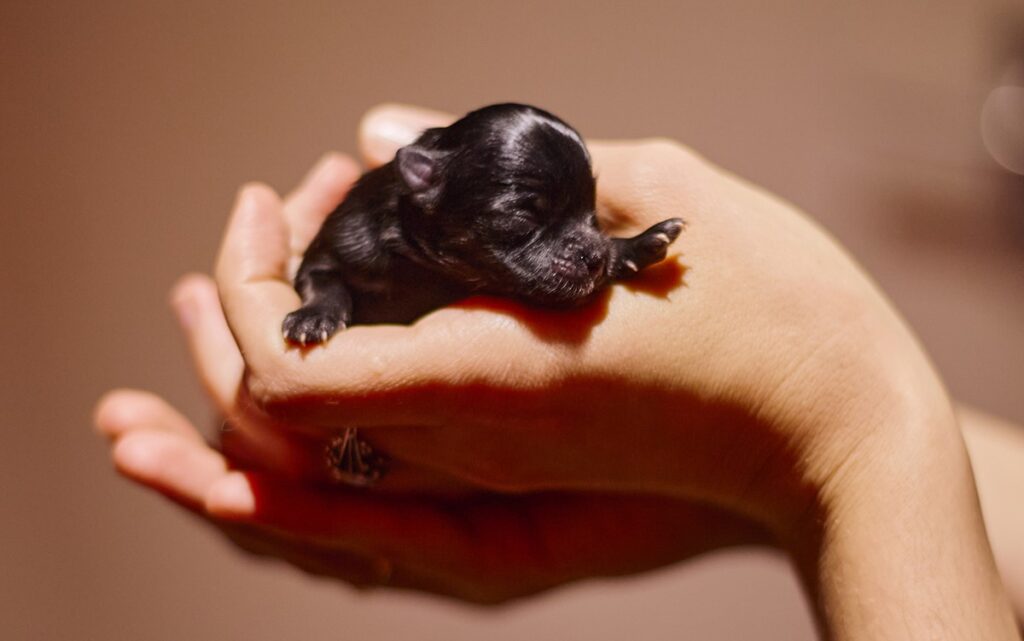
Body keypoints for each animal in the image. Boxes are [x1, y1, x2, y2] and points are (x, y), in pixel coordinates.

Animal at [282, 103, 679, 344]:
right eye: (523, 216)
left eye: (592, 214)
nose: (595, 258)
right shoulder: (339, 242)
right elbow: (320, 278)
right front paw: (313, 317)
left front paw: (635, 245)